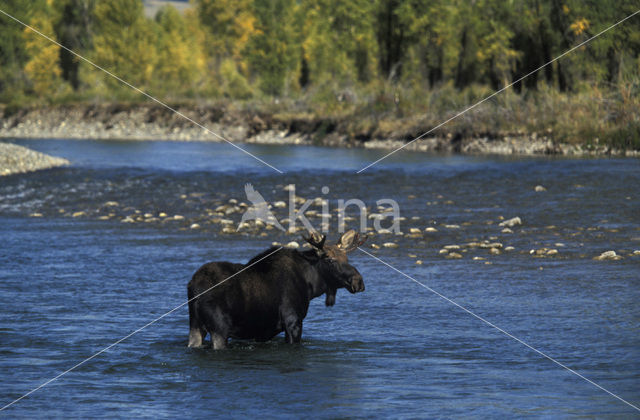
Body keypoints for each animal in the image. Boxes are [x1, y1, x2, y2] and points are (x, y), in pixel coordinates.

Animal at [186, 230, 364, 348]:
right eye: (330, 260)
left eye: (346, 258)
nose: (359, 281)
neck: (311, 286)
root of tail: (193, 287)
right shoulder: (293, 321)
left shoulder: (263, 331)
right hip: (219, 329)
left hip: (195, 325)